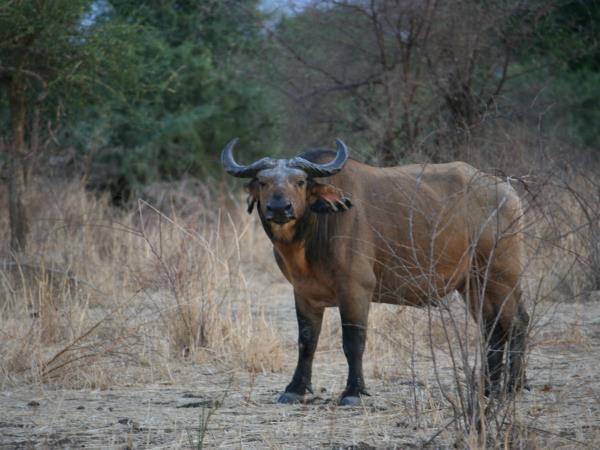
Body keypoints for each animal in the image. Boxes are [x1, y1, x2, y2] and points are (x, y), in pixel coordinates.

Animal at [221, 139, 528, 406]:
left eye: (300, 182)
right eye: (263, 182)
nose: (279, 208)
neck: (316, 229)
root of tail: (507, 191)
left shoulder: (356, 290)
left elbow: (353, 342)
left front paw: (353, 392)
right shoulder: (303, 293)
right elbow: (306, 342)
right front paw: (295, 389)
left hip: (501, 276)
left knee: (515, 323)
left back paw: (512, 386)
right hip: (473, 285)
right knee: (493, 328)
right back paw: (490, 388)